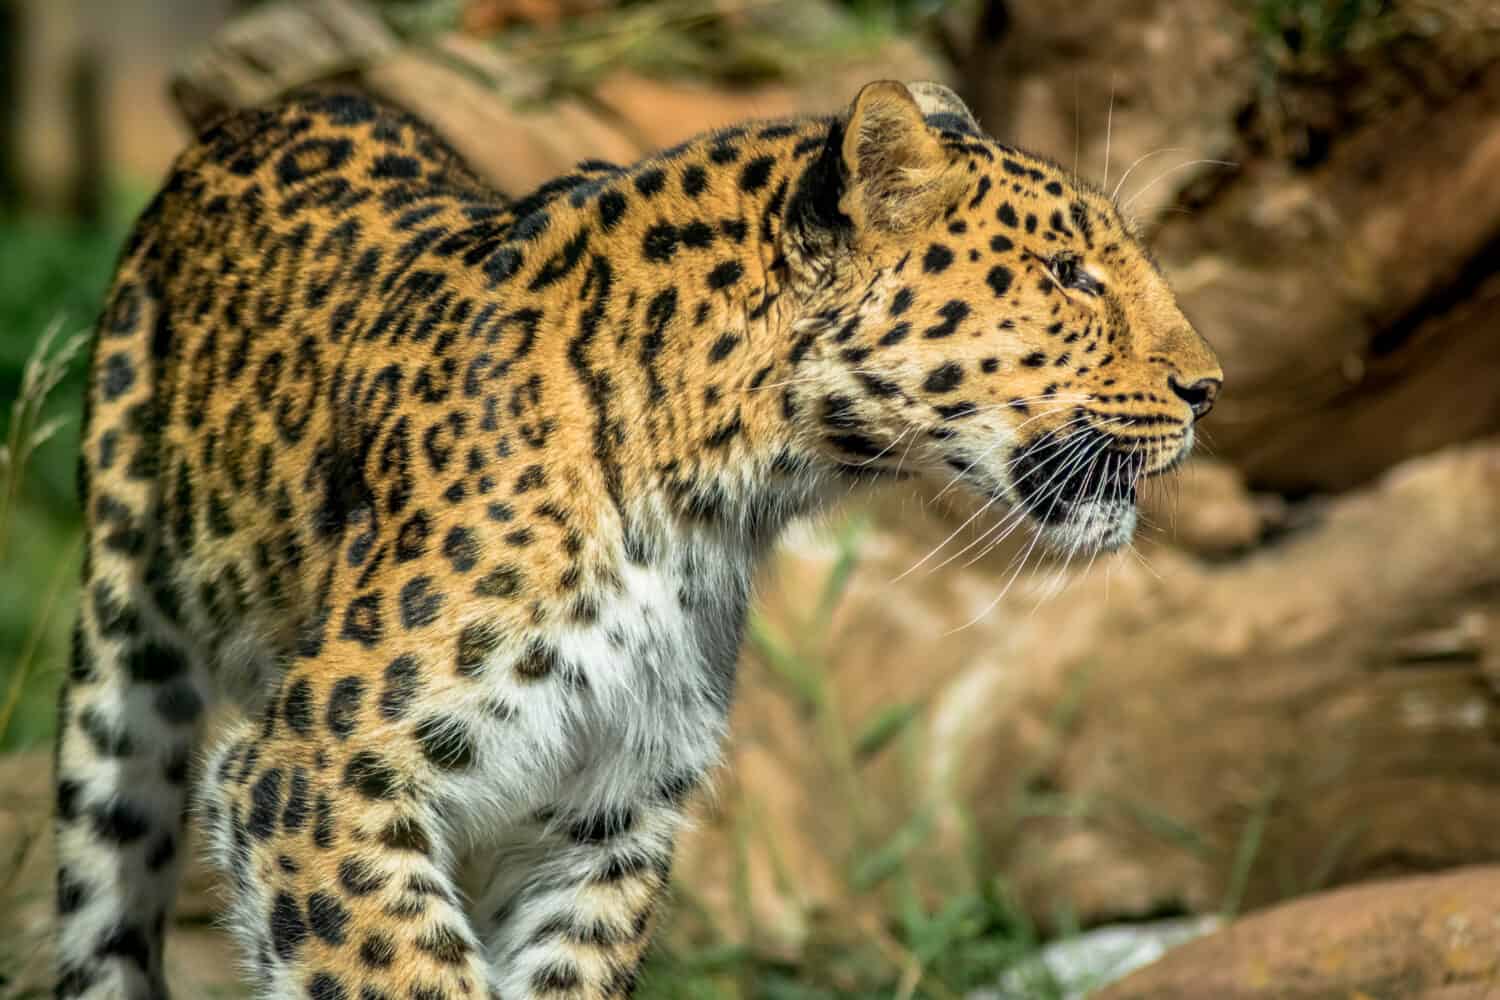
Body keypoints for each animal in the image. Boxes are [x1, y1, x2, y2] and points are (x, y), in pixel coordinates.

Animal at [52, 79, 1221, 1000]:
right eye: (1071, 275)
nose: (1209, 388)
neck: (710, 497)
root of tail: (264, 111)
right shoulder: (313, 777)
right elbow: (404, 971)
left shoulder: (609, 806)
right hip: (120, 673)